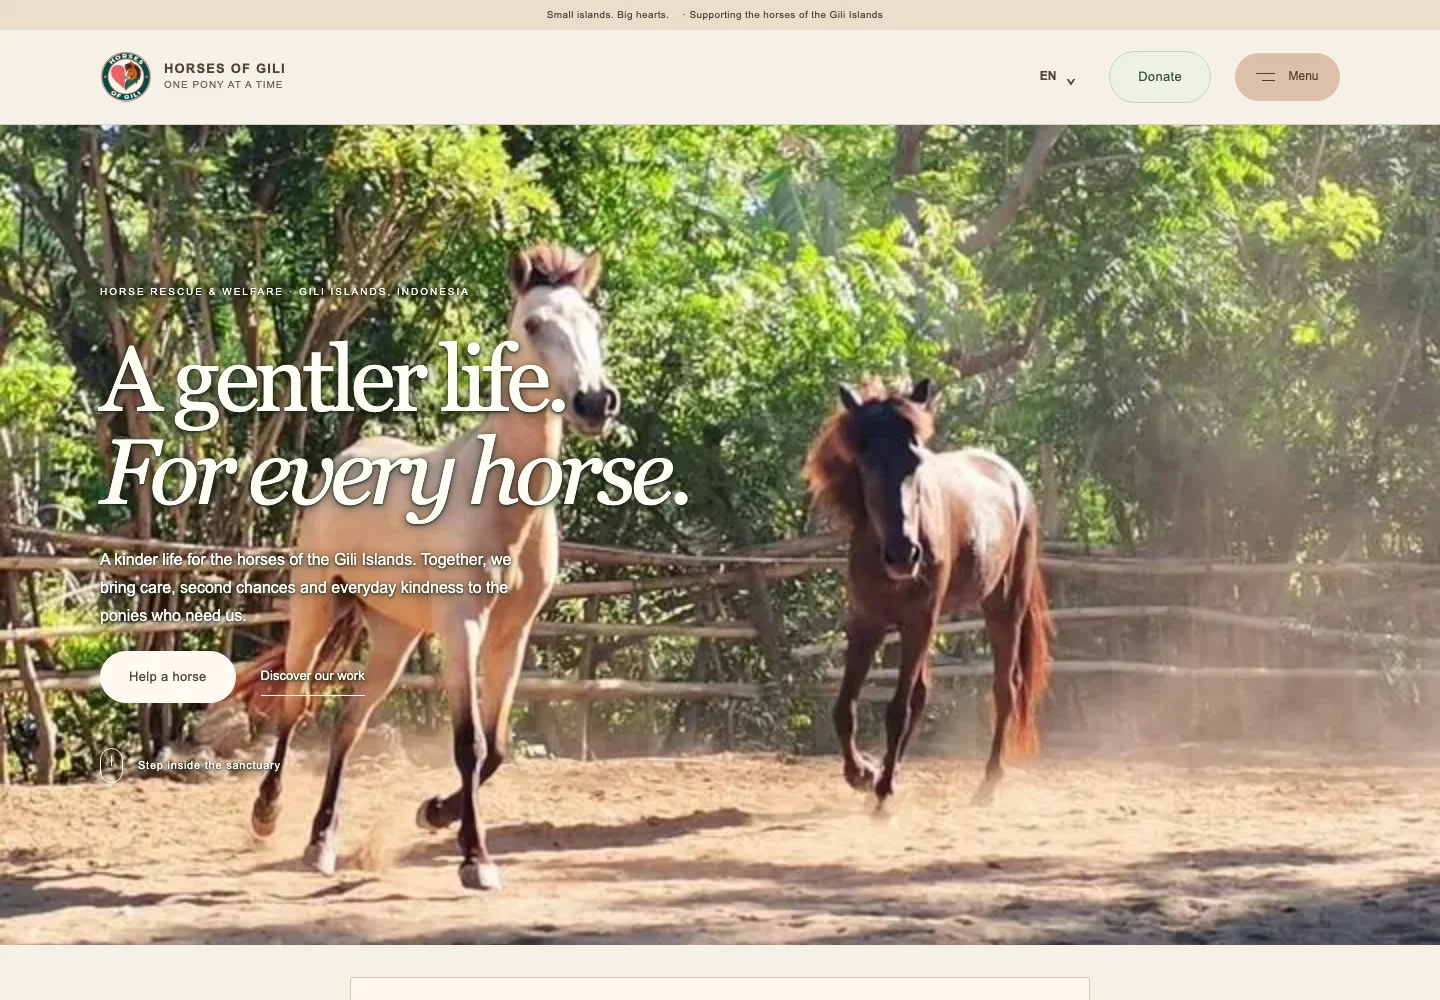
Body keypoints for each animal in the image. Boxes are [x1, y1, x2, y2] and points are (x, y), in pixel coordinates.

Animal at [226, 243, 620, 891]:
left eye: (592, 321)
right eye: (534, 324)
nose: (595, 401)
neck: (501, 502)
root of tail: (350, 455)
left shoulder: (510, 635)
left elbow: (499, 745)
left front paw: (433, 812)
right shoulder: (462, 627)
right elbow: (470, 745)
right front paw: (475, 859)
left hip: (394, 636)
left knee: (349, 723)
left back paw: (321, 842)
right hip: (315, 607)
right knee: (295, 704)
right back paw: (267, 814)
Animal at [803, 378, 1052, 807]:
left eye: (915, 462)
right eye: (866, 464)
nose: (904, 554)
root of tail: (1013, 479)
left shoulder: (918, 620)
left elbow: (898, 710)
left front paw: (881, 788)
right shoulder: (867, 622)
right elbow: (845, 708)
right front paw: (863, 774)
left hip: (1004, 607)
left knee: (1004, 690)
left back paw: (988, 783)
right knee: (922, 695)